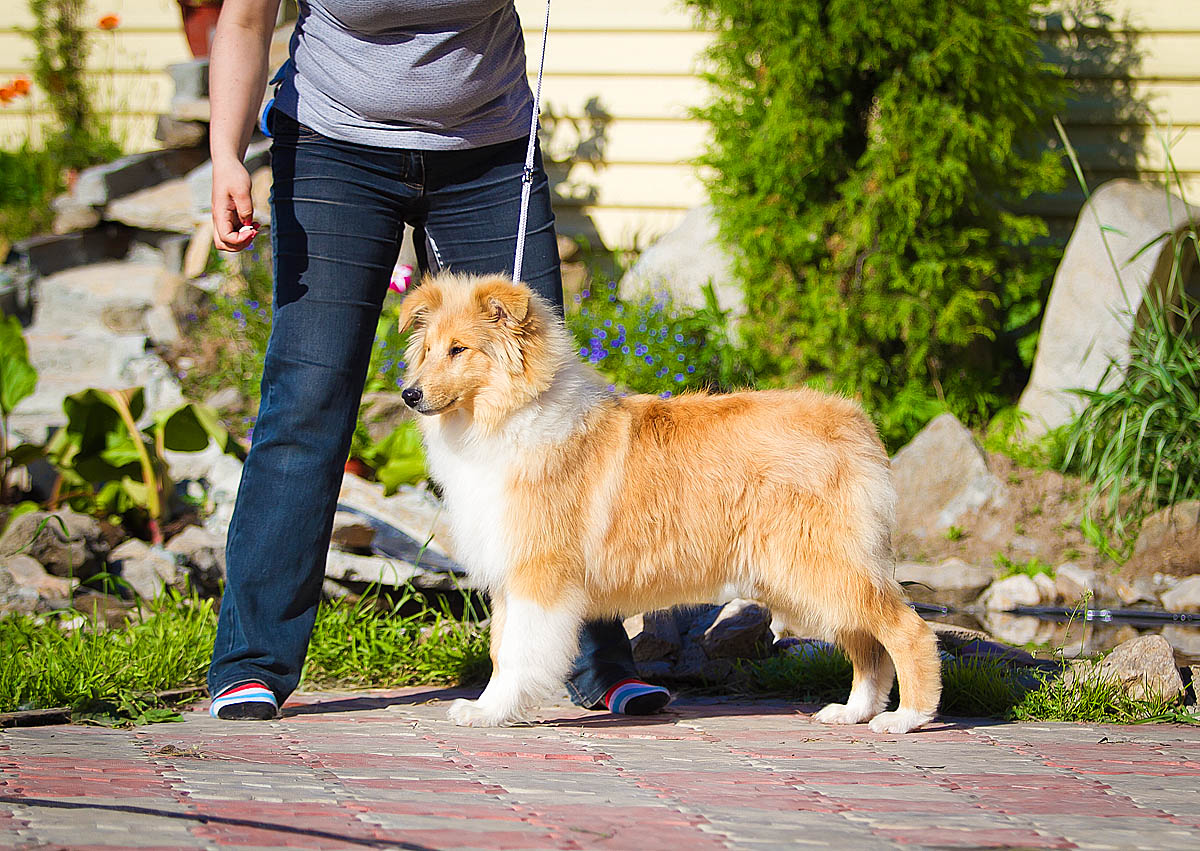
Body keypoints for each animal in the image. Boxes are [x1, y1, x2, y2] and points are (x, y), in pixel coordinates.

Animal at [398, 272, 940, 729]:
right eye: (427, 350)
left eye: (459, 350)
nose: (408, 394)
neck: (504, 416)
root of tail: (854, 420)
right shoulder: (510, 576)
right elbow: (499, 650)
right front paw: (489, 709)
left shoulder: (540, 573)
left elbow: (516, 654)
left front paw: (490, 712)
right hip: (805, 575)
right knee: (866, 646)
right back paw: (853, 713)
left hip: (821, 565)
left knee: (905, 630)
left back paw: (906, 718)